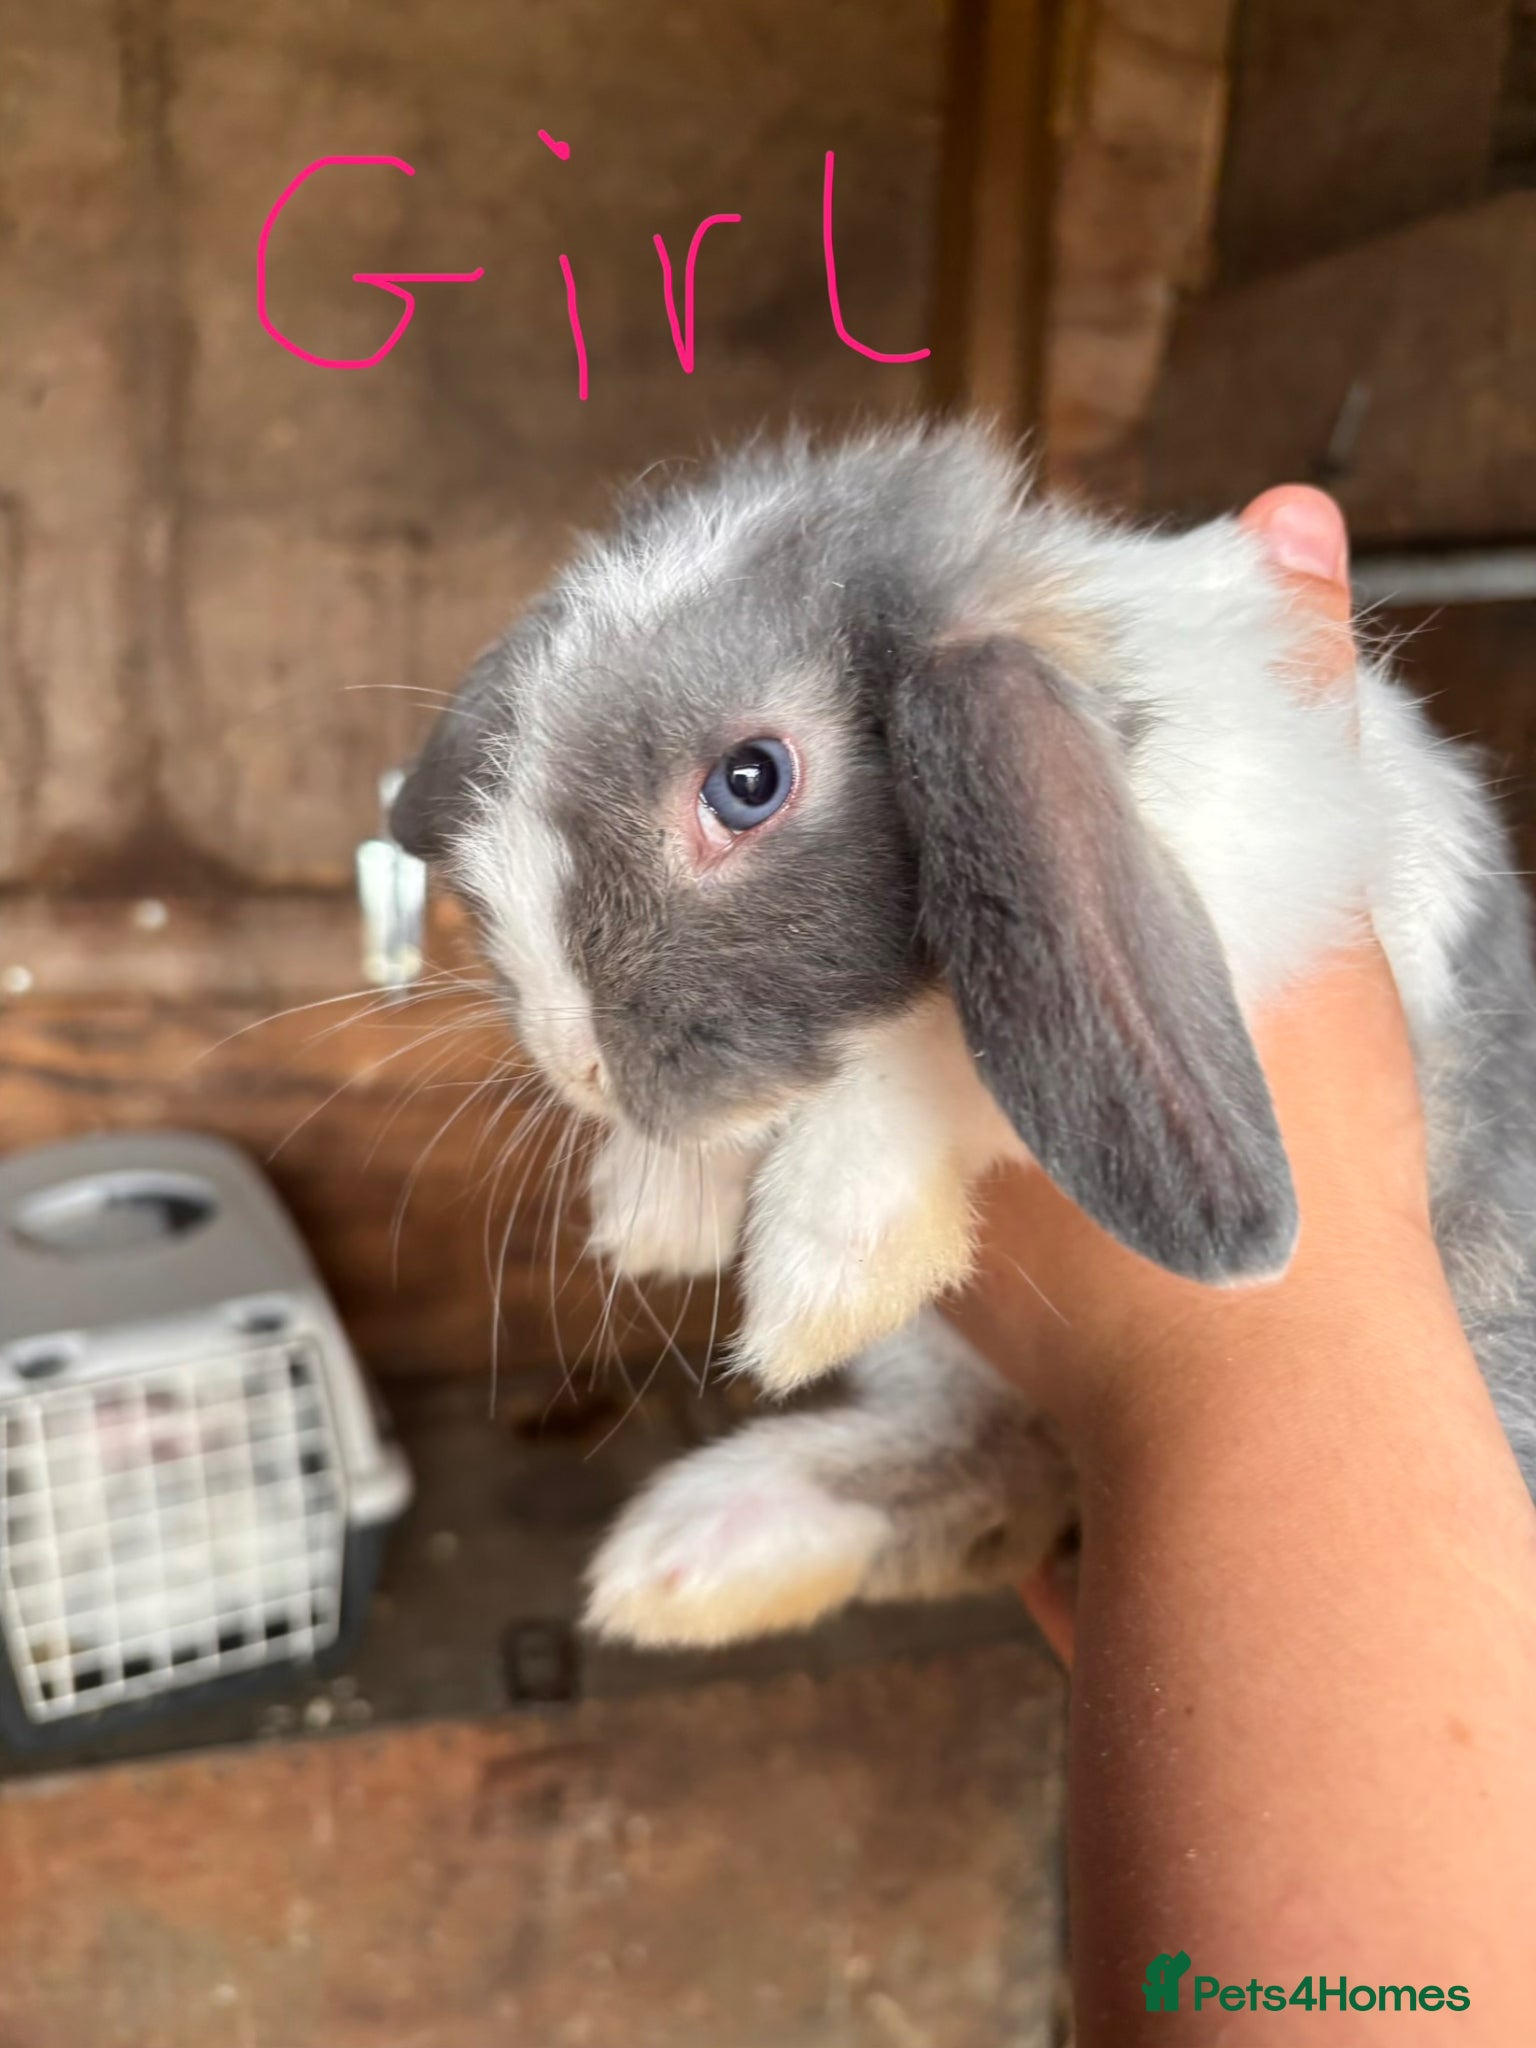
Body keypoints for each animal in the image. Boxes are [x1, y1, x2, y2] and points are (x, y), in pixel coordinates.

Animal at [389, 421, 1536, 1649]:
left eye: (749, 781)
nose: (580, 1067)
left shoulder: (1268, 894)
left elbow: (945, 1037)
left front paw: (821, 1265)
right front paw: (656, 1203)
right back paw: (697, 1553)